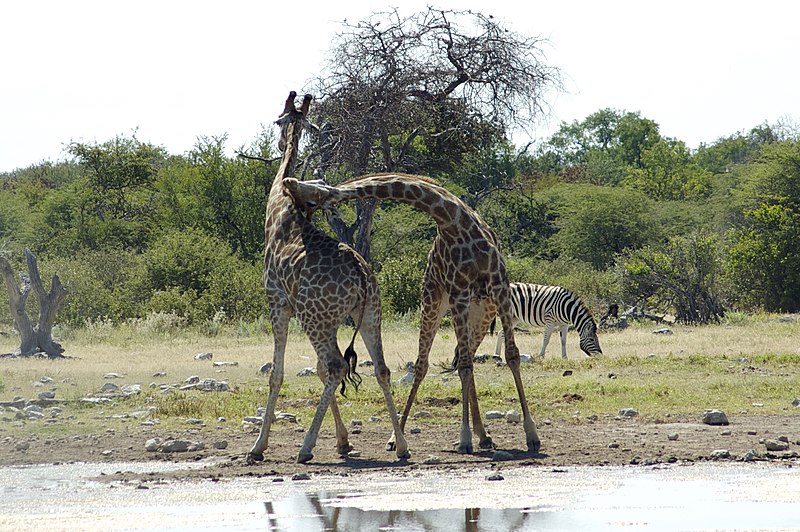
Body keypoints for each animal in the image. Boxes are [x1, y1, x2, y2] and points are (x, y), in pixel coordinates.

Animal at [247, 93, 410, 464]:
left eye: (277, 120)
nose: (280, 143)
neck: (278, 206)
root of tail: (362, 277)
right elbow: (319, 371)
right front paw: (343, 441)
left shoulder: (278, 302)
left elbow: (277, 373)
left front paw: (258, 446)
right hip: (370, 315)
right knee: (380, 369)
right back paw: (402, 446)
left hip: (316, 318)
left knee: (336, 367)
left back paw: (305, 448)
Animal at [284, 174, 540, 454]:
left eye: (311, 198)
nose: (288, 183)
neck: (454, 220)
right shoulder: (459, 293)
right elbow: (463, 366)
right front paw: (464, 439)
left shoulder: (500, 286)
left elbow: (511, 356)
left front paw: (532, 435)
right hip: (433, 302)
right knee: (424, 365)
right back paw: (397, 438)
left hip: (481, 310)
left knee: (465, 356)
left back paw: (483, 435)